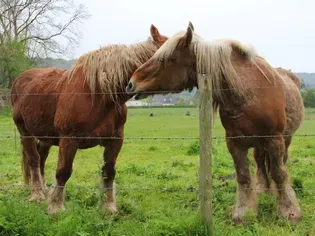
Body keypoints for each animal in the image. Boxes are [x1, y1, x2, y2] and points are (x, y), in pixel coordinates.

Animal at [9, 24, 168, 215]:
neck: (100, 94)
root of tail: (19, 79)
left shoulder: (115, 139)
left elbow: (109, 172)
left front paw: (109, 207)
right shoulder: (69, 138)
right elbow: (63, 172)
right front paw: (55, 206)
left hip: (46, 135)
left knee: (41, 157)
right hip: (25, 131)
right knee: (33, 159)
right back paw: (37, 194)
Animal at [127, 23, 304, 224]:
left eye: (165, 59)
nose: (131, 83)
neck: (249, 94)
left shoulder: (274, 140)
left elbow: (279, 173)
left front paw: (289, 211)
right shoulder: (234, 143)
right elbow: (243, 176)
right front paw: (244, 212)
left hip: (285, 139)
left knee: (280, 163)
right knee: (259, 162)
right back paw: (262, 189)